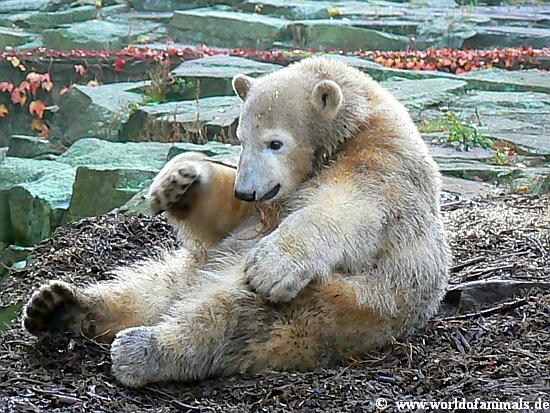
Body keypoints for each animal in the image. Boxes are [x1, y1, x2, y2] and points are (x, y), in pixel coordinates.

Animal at [22, 56, 450, 388]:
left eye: (275, 142)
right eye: (241, 137)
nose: (246, 189)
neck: (358, 124)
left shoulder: (383, 168)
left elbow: (345, 210)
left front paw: (271, 266)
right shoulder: (264, 202)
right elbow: (225, 220)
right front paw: (177, 181)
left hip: (329, 304)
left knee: (232, 318)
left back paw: (141, 350)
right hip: (189, 273)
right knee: (147, 289)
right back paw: (55, 305)